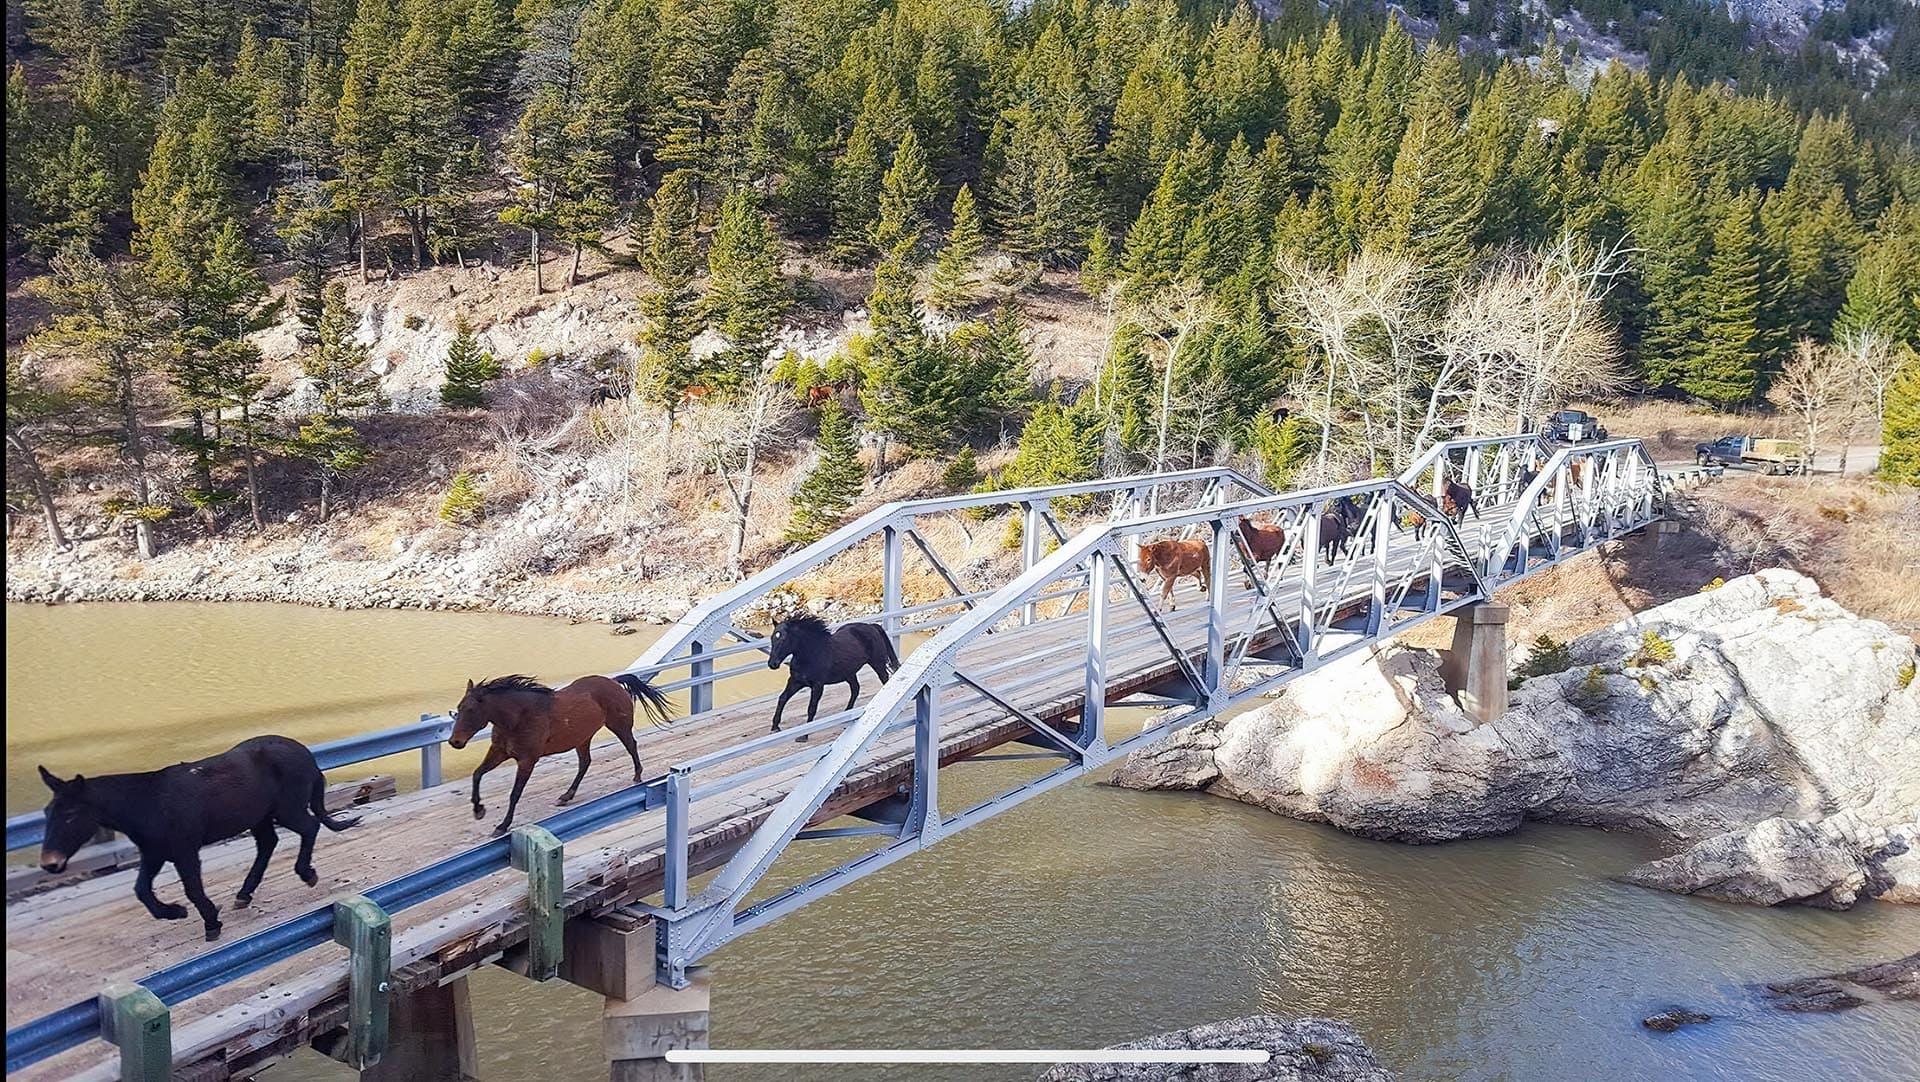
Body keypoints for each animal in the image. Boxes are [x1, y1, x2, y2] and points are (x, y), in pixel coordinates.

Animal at [36, 737, 359, 941]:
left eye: (71, 815)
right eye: (47, 812)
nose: (49, 863)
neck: (145, 804)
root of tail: (306, 754)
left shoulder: (184, 850)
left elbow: (191, 888)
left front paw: (211, 922)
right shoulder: (155, 853)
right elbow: (142, 890)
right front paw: (175, 912)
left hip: (286, 809)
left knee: (309, 827)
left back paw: (307, 874)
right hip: (261, 816)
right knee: (269, 843)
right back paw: (244, 894)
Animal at [451, 672, 672, 836]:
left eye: (470, 709)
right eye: (458, 708)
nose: (455, 742)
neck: (519, 717)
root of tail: (613, 681)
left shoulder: (527, 760)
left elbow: (515, 793)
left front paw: (502, 826)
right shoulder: (499, 752)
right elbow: (477, 774)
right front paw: (478, 810)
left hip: (619, 725)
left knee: (631, 746)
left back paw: (637, 775)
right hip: (583, 738)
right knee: (585, 762)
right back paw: (566, 796)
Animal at [767, 615, 899, 739]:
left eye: (783, 638)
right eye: (772, 637)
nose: (772, 664)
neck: (811, 654)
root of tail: (872, 626)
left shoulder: (818, 685)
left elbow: (811, 707)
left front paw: (803, 736)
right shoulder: (796, 681)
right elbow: (782, 698)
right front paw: (775, 727)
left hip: (877, 663)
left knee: (884, 680)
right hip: (849, 672)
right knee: (855, 688)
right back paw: (847, 714)